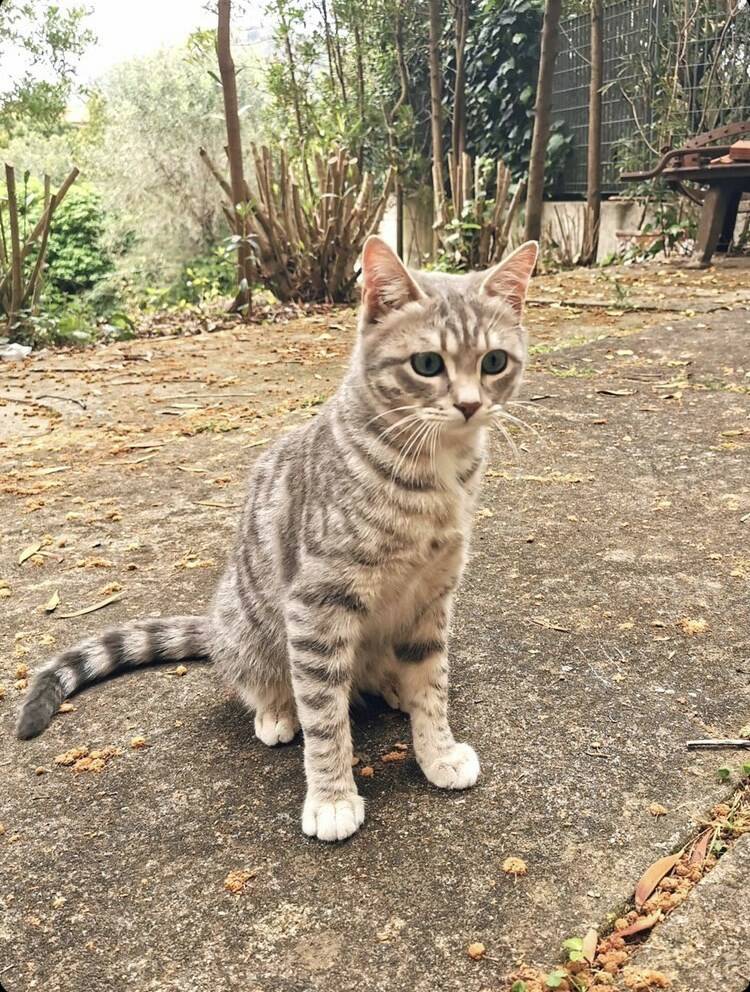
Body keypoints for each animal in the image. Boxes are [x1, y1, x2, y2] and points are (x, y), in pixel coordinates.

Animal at [16, 236, 540, 840]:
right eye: (428, 364)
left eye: (494, 362)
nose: (471, 404)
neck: (433, 474)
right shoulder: (317, 606)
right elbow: (326, 718)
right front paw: (333, 796)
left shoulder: (432, 597)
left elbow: (433, 687)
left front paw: (437, 752)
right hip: (248, 625)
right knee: (264, 681)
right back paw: (277, 711)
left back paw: (393, 688)